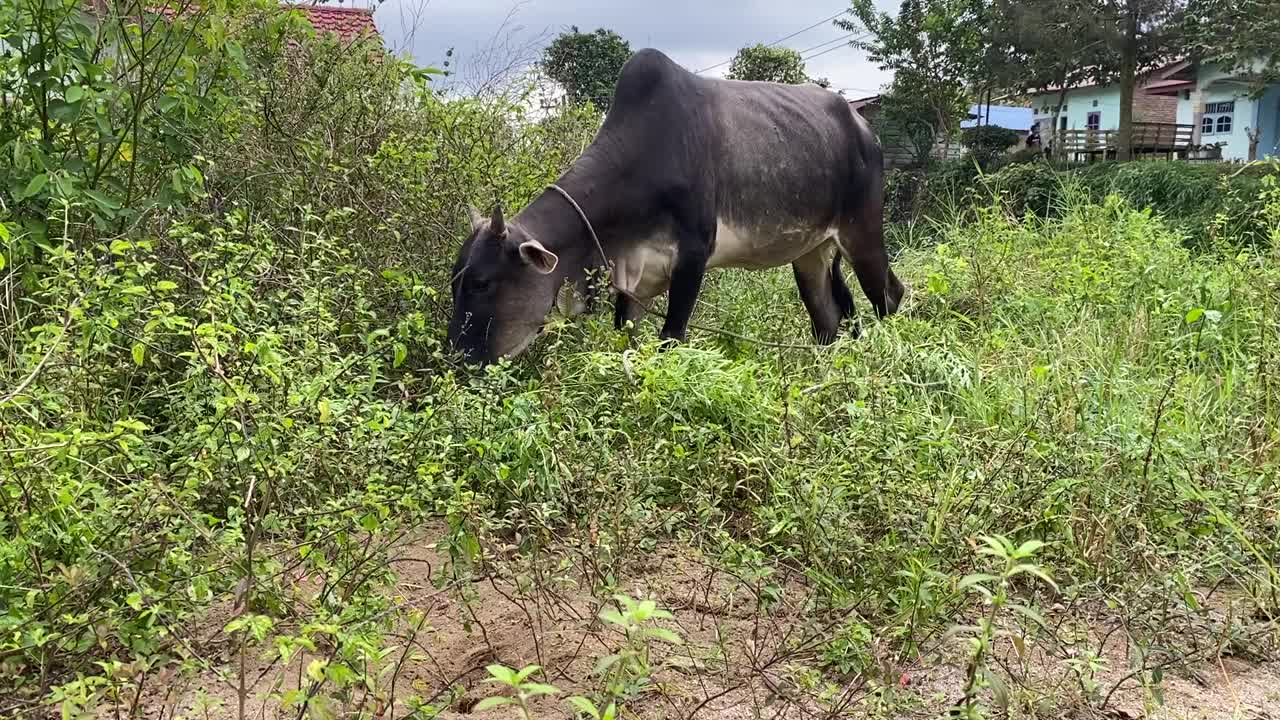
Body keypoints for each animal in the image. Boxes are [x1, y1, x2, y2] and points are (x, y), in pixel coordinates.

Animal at [445, 47, 906, 361]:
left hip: (863, 234)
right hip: (811, 253)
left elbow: (671, 339)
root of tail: (864, 128)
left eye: (482, 282)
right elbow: (627, 341)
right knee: (829, 320)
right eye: (454, 280)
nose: (457, 359)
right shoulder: (634, 279)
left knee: (888, 296)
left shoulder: (693, 257)